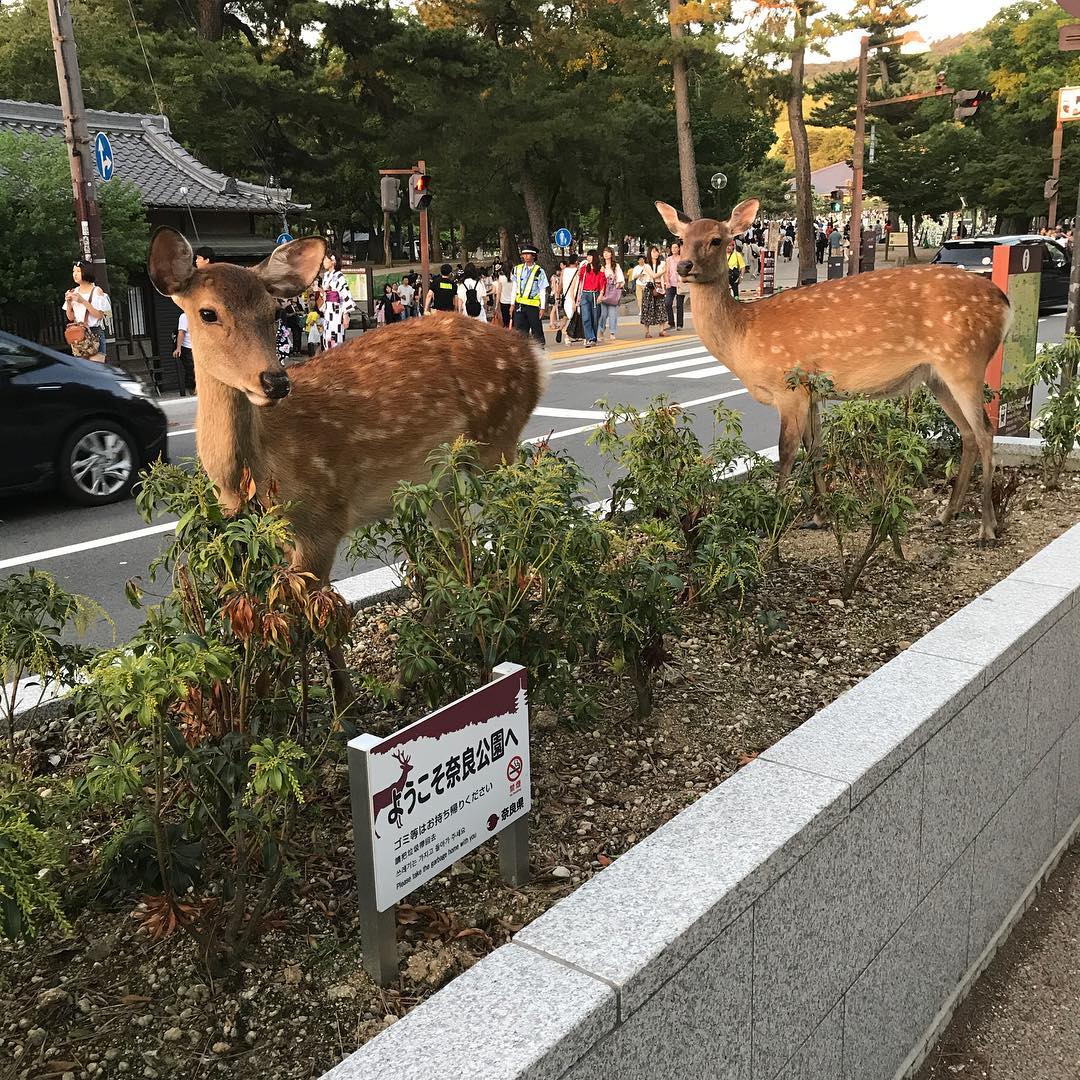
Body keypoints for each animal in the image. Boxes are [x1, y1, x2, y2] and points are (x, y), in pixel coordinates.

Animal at [148, 228, 548, 712]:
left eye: (273, 311)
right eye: (207, 312)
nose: (275, 381)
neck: (257, 472)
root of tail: (535, 358)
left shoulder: (323, 518)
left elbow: (309, 614)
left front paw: (335, 704)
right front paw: (297, 696)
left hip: (495, 446)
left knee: (517, 524)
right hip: (442, 486)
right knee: (456, 556)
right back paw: (413, 669)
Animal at [655, 199, 1012, 543]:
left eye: (717, 239)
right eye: (681, 239)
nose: (684, 266)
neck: (744, 336)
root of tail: (1005, 303)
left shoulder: (790, 387)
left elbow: (787, 452)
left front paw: (773, 520)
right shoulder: (812, 392)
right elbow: (814, 448)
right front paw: (819, 516)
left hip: (964, 360)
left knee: (985, 431)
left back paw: (987, 528)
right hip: (937, 375)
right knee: (967, 433)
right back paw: (946, 515)